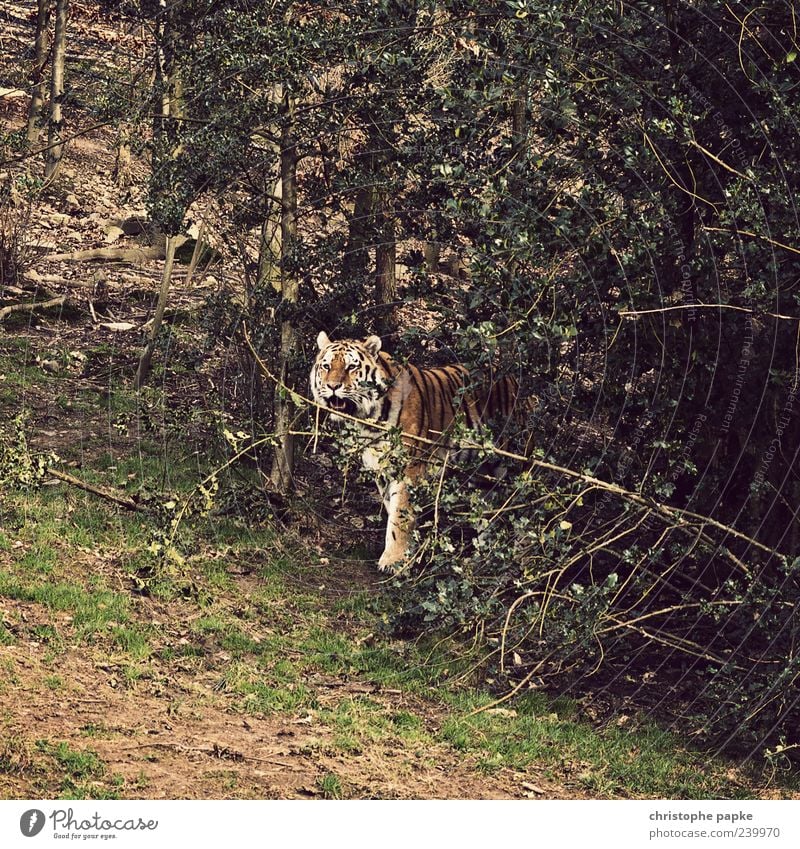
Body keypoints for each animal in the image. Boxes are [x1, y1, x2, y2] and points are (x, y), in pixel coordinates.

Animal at [310, 330, 520, 568]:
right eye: (326, 366)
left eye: (351, 367)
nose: (333, 386)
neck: (368, 421)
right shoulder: (381, 470)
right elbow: (392, 508)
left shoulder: (409, 469)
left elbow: (400, 516)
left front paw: (394, 560)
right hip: (482, 476)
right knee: (489, 512)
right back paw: (483, 556)